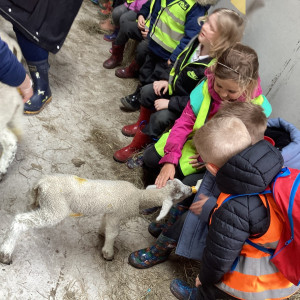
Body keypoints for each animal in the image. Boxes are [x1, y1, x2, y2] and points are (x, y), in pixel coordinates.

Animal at [0, 175, 199, 264]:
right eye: (179, 193)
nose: (191, 190)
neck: (139, 196)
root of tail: (42, 183)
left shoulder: (110, 213)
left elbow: (105, 226)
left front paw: (101, 233)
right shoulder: (117, 214)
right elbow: (113, 233)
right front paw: (108, 252)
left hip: (41, 202)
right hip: (55, 208)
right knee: (20, 220)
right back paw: (6, 253)